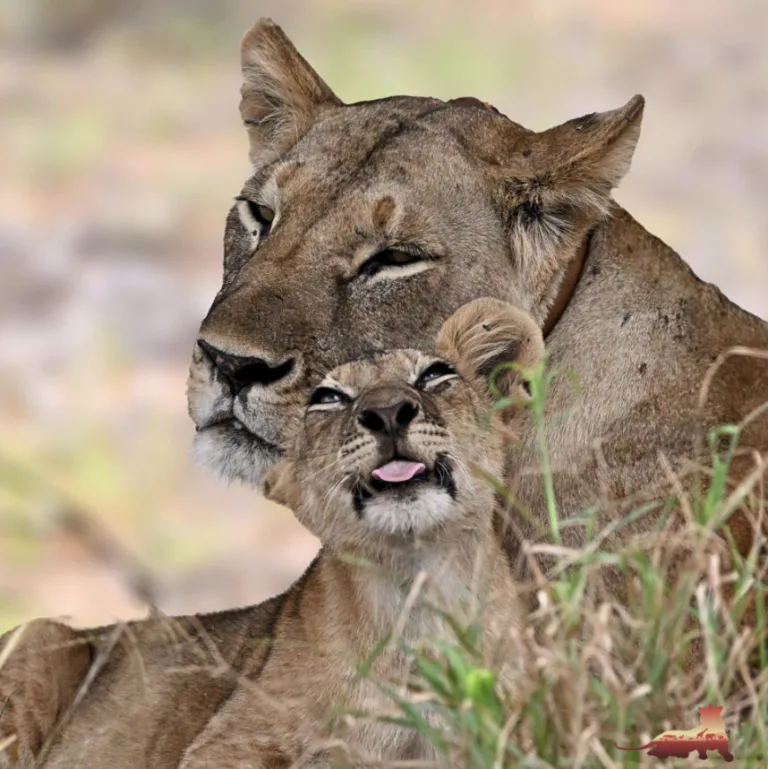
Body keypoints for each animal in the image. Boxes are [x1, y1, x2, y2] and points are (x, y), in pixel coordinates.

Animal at [0, 299, 543, 768]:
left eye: (434, 375)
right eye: (329, 398)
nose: (388, 412)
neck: (418, 588)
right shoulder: (224, 743)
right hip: (41, 633)